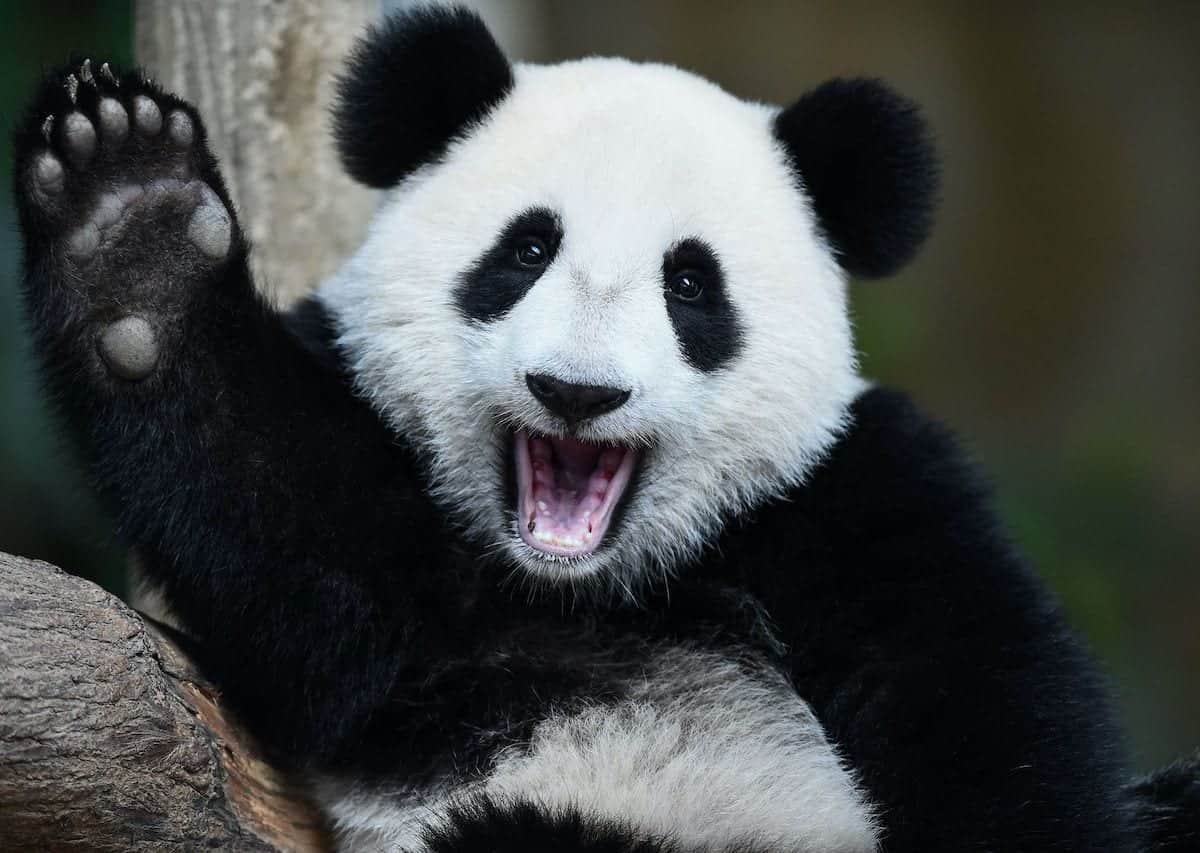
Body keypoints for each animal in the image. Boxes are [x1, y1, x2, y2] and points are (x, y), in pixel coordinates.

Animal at [13, 5, 1199, 853]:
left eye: (691, 284)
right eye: (526, 250)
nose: (577, 392)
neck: (592, 587)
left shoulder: (849, 487)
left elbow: (978, 694)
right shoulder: (398, 577)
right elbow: (302, 553)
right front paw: (134, 229)